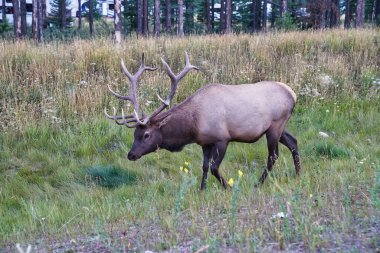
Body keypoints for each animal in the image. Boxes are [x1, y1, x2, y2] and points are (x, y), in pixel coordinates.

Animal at [105, 52, 302, 190]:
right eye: (134, 134)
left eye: (146, 134)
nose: (131, 155)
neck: (193, 126)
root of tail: (292, 93)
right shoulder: (205, 143)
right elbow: (205, 167)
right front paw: (202, 190)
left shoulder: (222, 138)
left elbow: (214, 167)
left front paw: (228, 187)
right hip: (279, 127)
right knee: (293, 142)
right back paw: (298, 175)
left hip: (275, 125)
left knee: (273, 155)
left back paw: (258, 183)